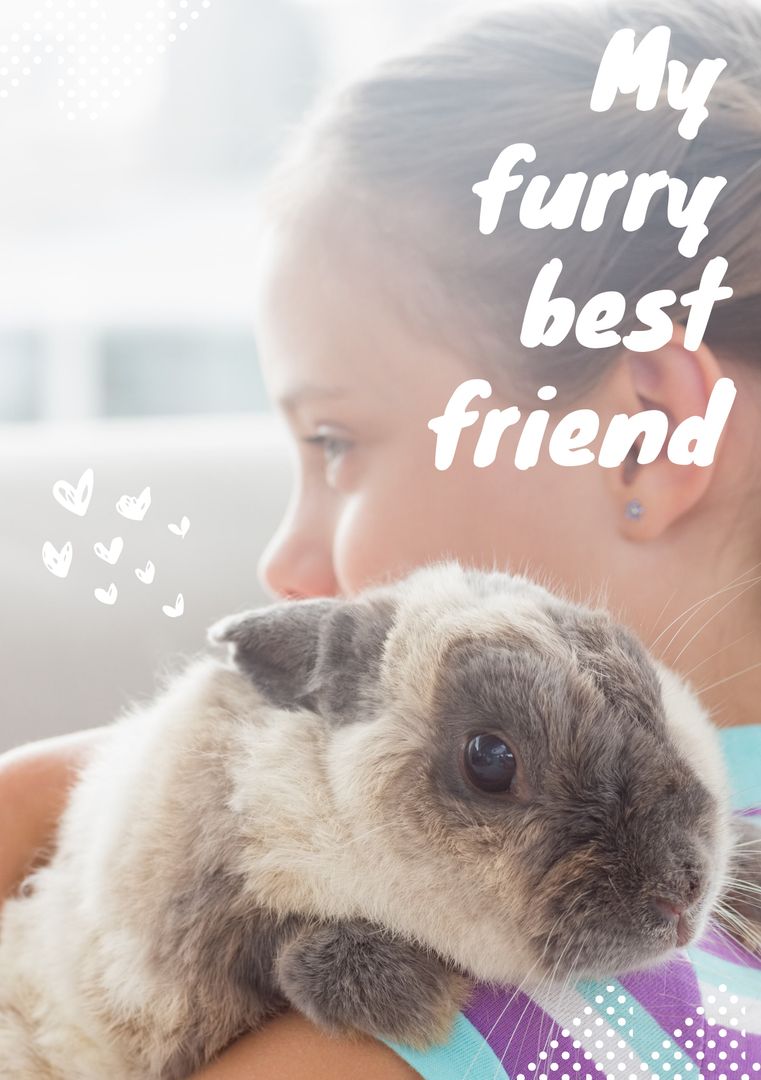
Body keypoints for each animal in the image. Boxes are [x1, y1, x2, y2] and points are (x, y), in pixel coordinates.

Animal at [0, 562, 755, 1079]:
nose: (685, 890)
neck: (321, 800)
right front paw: (419, 1000)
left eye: (653, 694)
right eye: (489, 759)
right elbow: (276, 950)